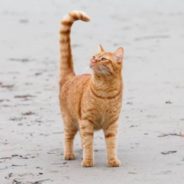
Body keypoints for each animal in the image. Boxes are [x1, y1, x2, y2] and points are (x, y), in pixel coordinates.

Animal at [59, 10, 124, 167]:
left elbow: (111, 144)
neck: (105, 88)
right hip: (70, 121)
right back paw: (69, 154)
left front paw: (112, 161)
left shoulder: (112, 123)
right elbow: (88, 143)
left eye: (103, 59)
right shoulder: (86, 120)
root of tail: (71, 77)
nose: (93, 60)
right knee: (68, 137)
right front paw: (88, 161)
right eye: (94, 56)